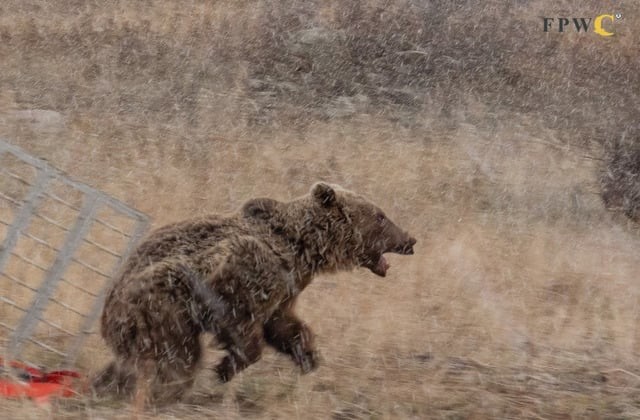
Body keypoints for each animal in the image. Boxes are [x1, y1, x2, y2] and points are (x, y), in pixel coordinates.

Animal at [92, 182, 418, 402]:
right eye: (379, 215)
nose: (410, 239)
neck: (302, 250)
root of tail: (106, 315)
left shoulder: (286, 291)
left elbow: (286, 327)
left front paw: (308, 358)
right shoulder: (243, 274)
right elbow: (243, 328)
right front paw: (224, 368)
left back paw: (107, 384)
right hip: (160, 305)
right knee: (179, 358)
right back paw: (161, 393)